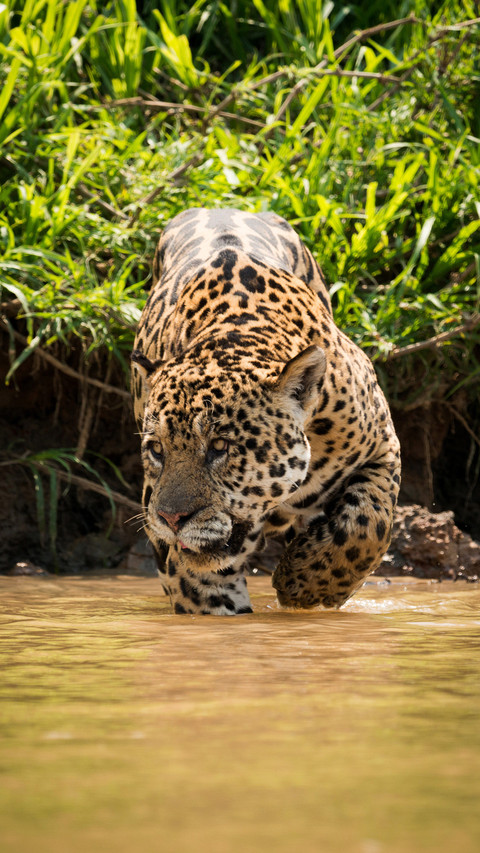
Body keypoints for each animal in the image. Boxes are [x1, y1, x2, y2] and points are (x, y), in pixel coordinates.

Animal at [131, 207, 401, 615]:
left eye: (220, 447)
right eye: (157, 450)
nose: (171, 519)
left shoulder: (383, 445)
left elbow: (368, 522)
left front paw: (306, 584)